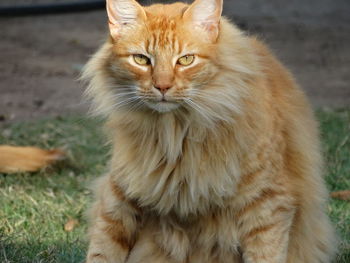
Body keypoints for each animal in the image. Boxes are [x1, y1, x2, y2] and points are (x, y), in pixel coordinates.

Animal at [82, 0, 336, 262]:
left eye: (186, 60)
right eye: (141, 60)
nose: (162, 86)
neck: (175, 133)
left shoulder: (267, 202)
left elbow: (266, 254)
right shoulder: (120, 194)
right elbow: (102, 250)